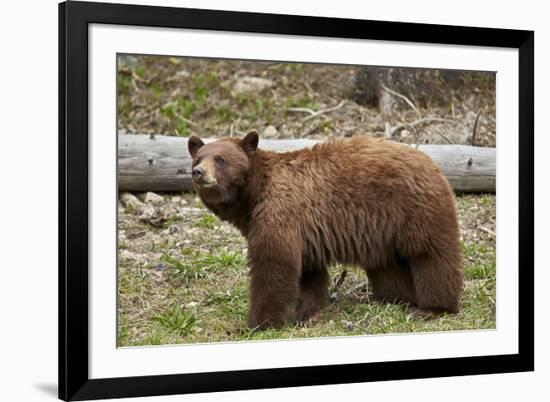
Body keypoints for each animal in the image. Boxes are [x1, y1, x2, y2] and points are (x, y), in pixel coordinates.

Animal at [188, 132, 464, 330]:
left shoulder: (279, 213)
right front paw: (307, 314)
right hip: (384, 231)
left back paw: (433, 307)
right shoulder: (304, 232)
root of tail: (432, 163)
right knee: (389, 266)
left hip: (414, 210)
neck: (253, 196)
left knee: (431, 256)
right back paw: (395, 297)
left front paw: (257, 323)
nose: (198, 172)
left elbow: (274, 265)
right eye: (198, 157)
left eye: (220, 159)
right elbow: (309, 272)